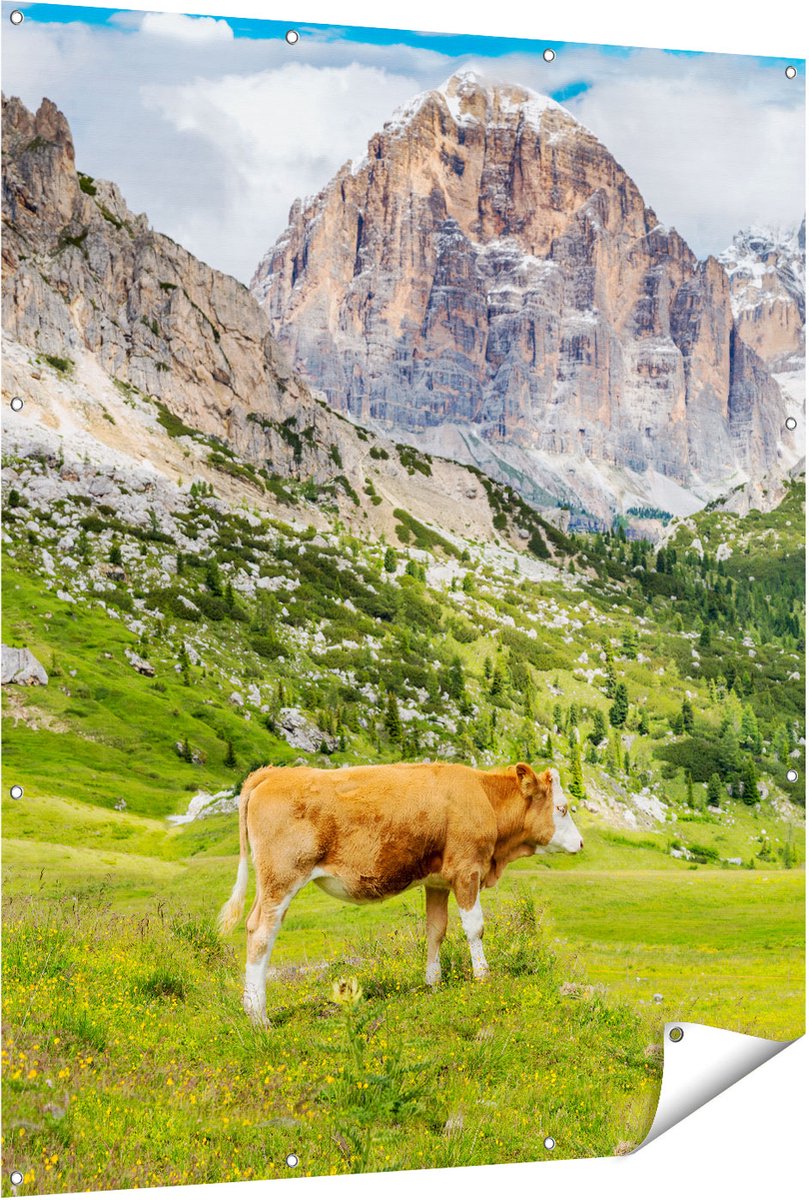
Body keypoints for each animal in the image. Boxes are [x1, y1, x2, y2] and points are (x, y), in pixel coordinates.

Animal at [218, 761, 583, 1023]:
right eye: (562, 808)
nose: (581, 843)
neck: (484, 799)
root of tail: (271, 774)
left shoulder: (438, 881)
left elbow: (436, 930)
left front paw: (433, 981)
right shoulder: (467, 870)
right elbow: (474, 927)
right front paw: (483, 977)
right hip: (281, 877)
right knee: (261, 933)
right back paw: (259, 1016)